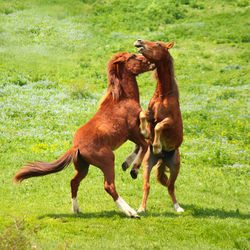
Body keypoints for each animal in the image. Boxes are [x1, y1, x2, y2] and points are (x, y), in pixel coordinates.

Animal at [13, 52, 155, 219]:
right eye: (133, 56)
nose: (151, 62)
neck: (123, 99)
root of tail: (76, 147)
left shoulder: (132, 135)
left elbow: (140, 145)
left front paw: (126, 164)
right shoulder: (132, 131)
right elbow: (144, 144)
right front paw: (134, 170)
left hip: (83, 167)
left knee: (74, 182)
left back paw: (77, 209)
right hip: (108, 160)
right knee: (109, 186)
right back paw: (131, 212)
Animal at [134, 40, 185, 213]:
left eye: (158, 44)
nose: (139, 42)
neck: (163, 95)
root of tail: (163, 157)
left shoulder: (170, 122)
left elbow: (159, 126)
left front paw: (156, 145)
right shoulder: (151, 114)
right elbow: (142, 115)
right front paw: (145, 133)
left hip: (175, 166)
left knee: (171, 186)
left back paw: (178, 208)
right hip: (147, 163)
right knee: (147, 185)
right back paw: (141, 208)